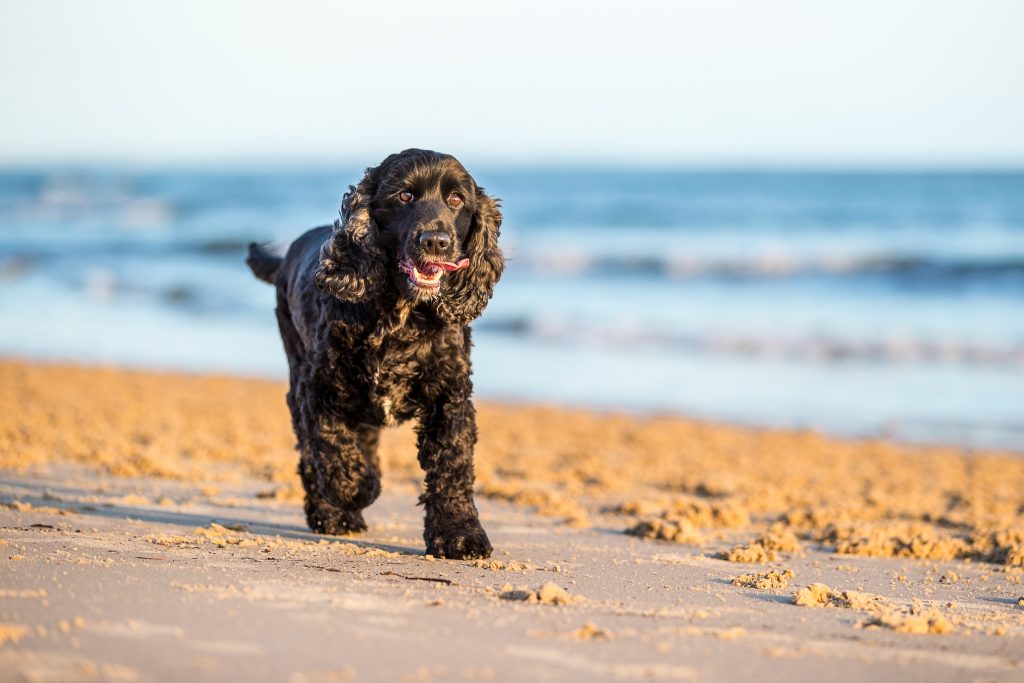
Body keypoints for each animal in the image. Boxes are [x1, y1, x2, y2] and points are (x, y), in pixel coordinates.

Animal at [247, 150, 503, 561]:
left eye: (456, 200)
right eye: (404, 196)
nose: (436, 241)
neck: (401, 313)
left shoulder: (449, 395)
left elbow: (452, 466)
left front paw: (459, 533)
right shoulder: (319, 388)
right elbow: (333, 449)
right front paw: (359, 490)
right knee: (310, 454)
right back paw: (332, 515)